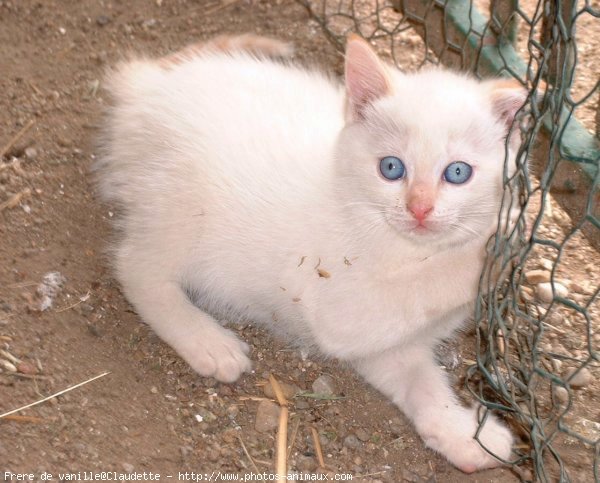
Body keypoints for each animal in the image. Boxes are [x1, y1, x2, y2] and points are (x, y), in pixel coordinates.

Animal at [96, 35, 524, 476]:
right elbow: (423, 286)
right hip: (180, 199)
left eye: (457, 173)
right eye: (391, 168)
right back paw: (206, 341)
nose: (419, 209)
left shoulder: (386, 345)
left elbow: (419, 380)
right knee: (135, 266)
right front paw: (497, 245)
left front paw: (461, 433)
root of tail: (146, 84)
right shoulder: (339, 303)